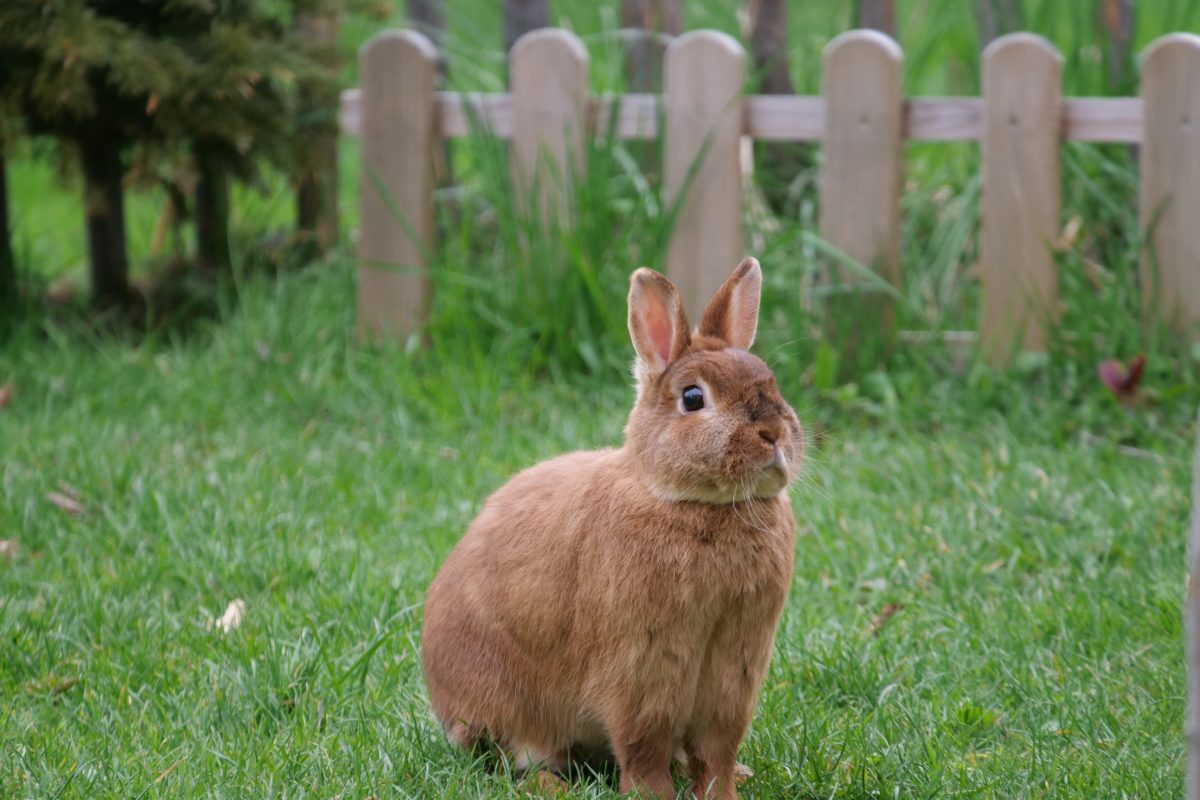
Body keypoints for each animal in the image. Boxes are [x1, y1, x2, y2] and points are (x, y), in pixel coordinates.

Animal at [417, 257, 801, 800]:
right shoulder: (642, 668)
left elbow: (715, 750)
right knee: (517, 759)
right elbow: (643, 746)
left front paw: (724, 791)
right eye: (693, 398)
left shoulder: (734, 670)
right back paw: (550, 785)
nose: (774, 433)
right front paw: (654, 794)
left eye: (770, 380)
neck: (690, 501)